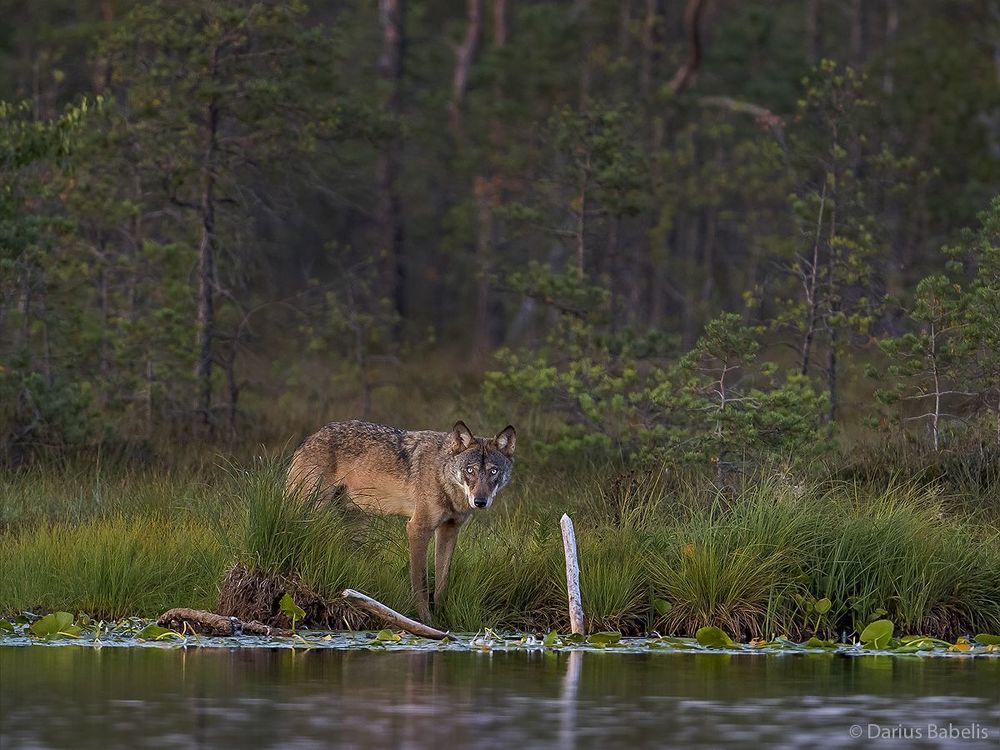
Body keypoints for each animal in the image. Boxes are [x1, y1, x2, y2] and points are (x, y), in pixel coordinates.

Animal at [286, 419, 516, 621]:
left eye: (493, 471)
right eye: (470, 470)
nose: (480, 501)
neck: (441, 474)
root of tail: (309, 438)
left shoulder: (449, 531)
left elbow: (442, 582)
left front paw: (443, 618)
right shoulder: (417, 529)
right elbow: (421, 583)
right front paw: (426, 621)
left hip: (357, 524)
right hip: (313, 509)